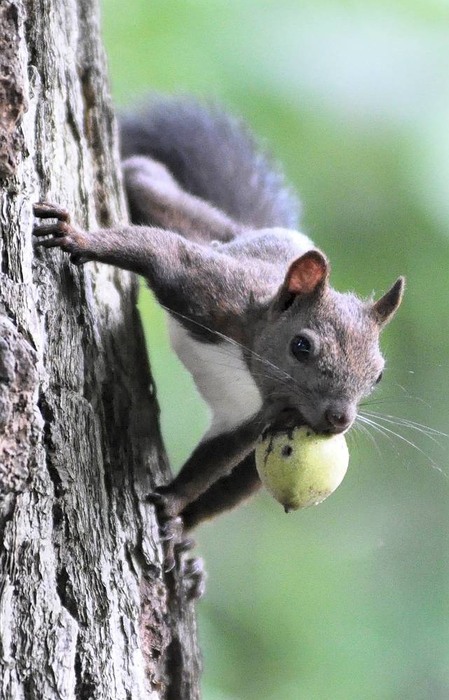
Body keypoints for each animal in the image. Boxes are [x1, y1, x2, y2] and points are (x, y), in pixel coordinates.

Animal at [31, 98, 402, 548]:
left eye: (378, 375)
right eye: (301, 346)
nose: (339, 419)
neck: (249, 357)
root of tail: (251, 231)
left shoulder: (262, 418)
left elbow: (218, 459)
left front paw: (171, 505)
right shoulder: (213, 292)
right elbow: (163, 252)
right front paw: (77, 237)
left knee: (238, 483)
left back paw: (184, 537)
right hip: (203, 229)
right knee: (142, 177)